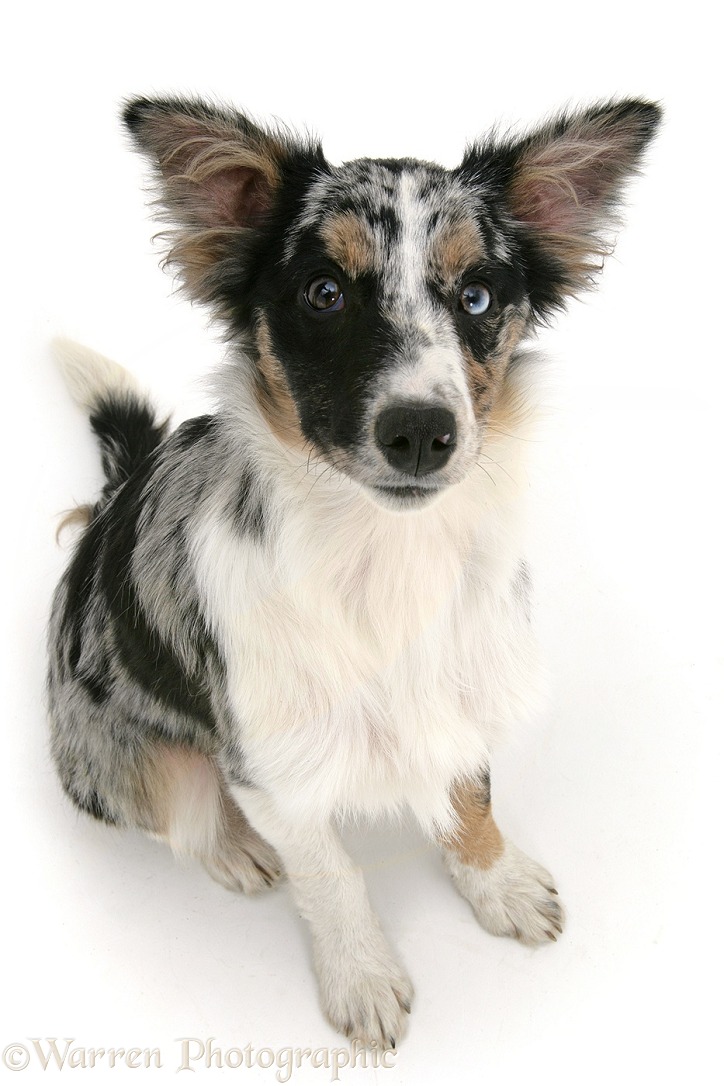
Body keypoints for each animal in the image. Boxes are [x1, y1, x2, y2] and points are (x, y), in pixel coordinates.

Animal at [48, 97, 664, 1046]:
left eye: (478, 295)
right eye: (323, 293)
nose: (420, 432)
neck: (384, 555)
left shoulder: (463, 692)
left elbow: (472, 800)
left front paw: (498, 883)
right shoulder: (270, 765)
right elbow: (329, 874)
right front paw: (363, 976)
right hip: (136, 763)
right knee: (185, 816)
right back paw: (236, 851)